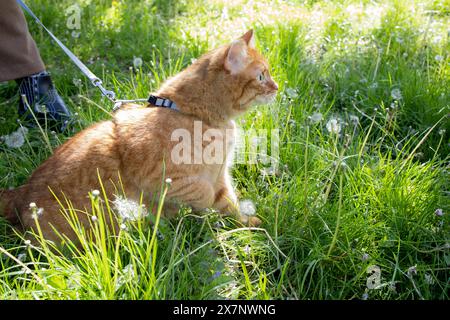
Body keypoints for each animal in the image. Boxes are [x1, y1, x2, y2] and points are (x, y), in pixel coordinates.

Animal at [0, 30, 280, 241]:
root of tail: (20, 193)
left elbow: (228, 201)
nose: (277, 87)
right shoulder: (164, 177)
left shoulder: (220, 173)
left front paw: (247, 221)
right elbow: (204, 192)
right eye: (261, 76)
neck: (190, 112)